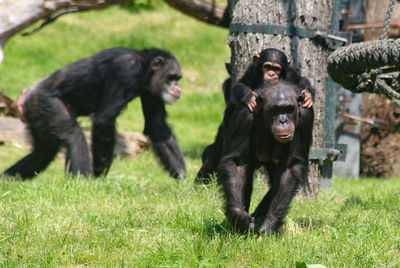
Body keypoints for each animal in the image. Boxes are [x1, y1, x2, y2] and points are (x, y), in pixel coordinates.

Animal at [2, 46, 186, 180]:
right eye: (171, 77)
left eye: (177, 78)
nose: (178, 88)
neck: (143, 69)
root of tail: (26, 96)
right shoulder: (124, 69)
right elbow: (104, 119)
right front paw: (99, 175)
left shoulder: (152, 92)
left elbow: (157, 126)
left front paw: (182, 178)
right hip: (46, 102)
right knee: (73, 136)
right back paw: (82, 181)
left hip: (37, 112)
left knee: (43, 151)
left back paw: (7, 178)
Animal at [217, 80, 314, 236]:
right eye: (275, 109)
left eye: (289, 109)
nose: (283, 120)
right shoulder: (245, 114)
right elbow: (237, 163)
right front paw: (239, 217)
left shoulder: (306, 117)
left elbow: (289, 168)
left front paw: (269, 225)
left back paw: (258, 218)